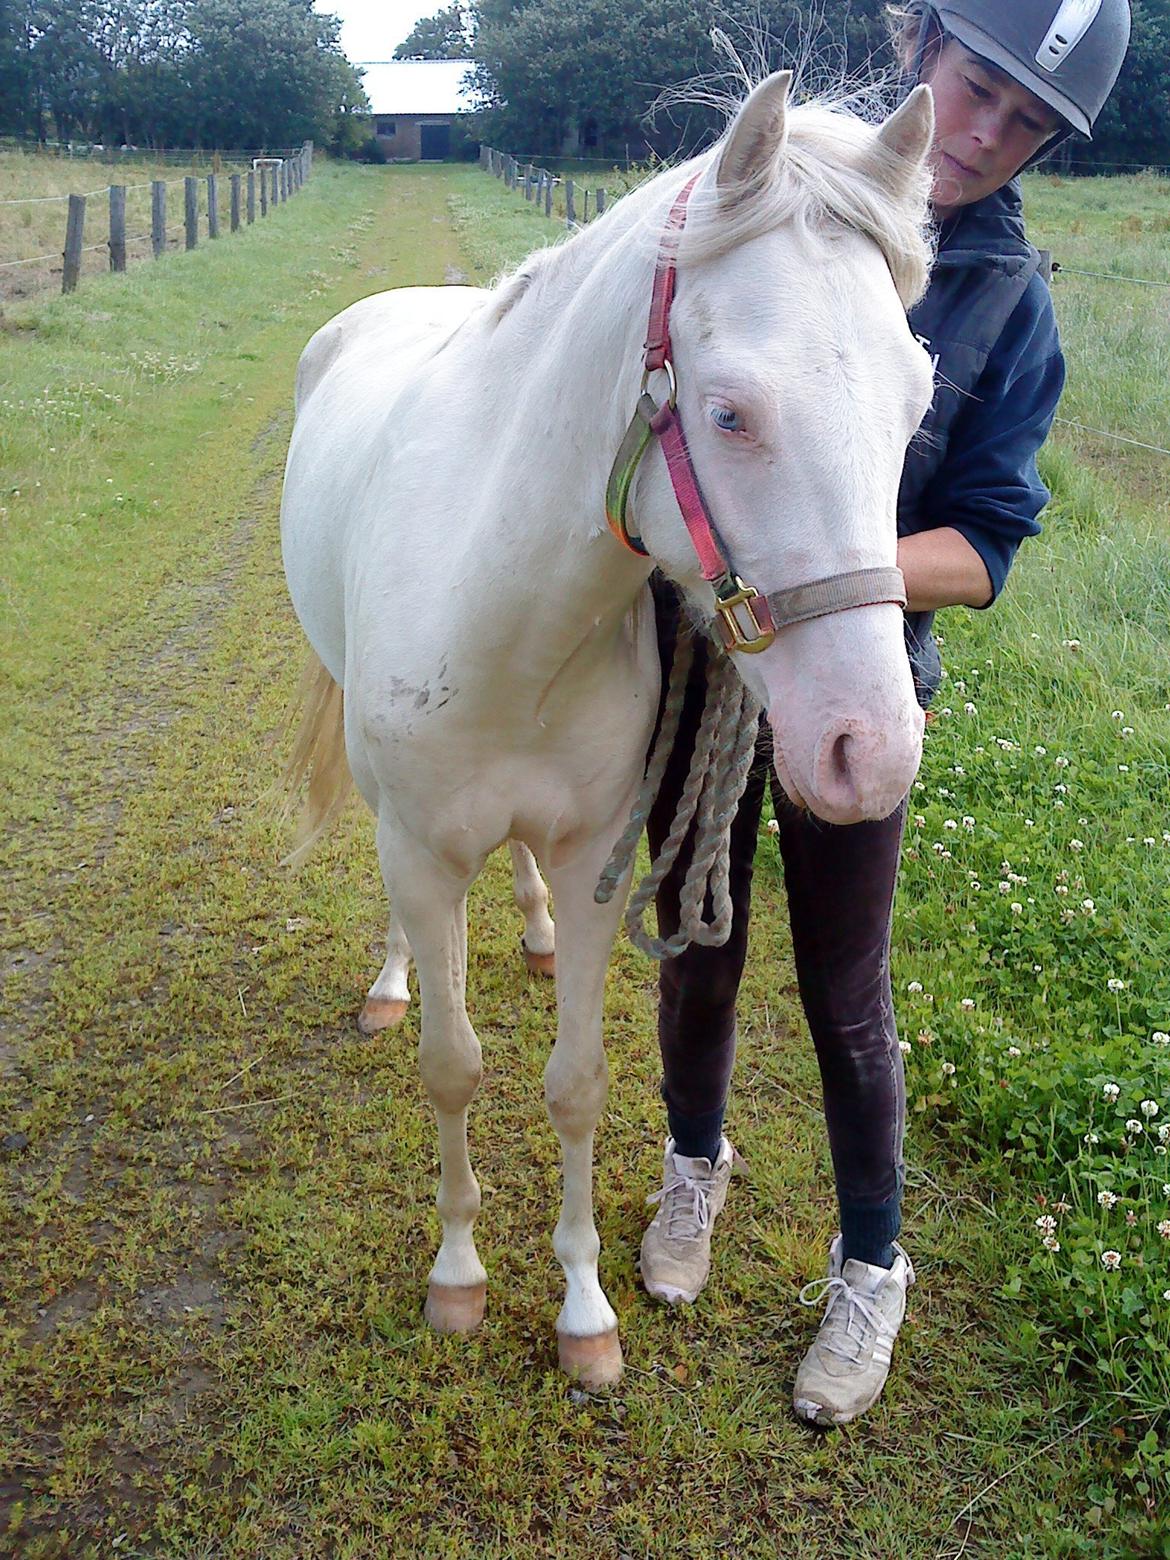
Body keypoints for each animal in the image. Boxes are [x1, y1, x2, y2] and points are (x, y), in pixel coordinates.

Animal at [279, 71, 937, 1387]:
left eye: (917, 406)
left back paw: (528, 933)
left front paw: (584, 1310)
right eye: (730, 415)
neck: (506, 603)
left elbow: (576, 1084)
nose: (872, 754)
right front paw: (460, 1278)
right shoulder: (422, 851)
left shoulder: (596, 859)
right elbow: (453, 1068)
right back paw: (390, 979)